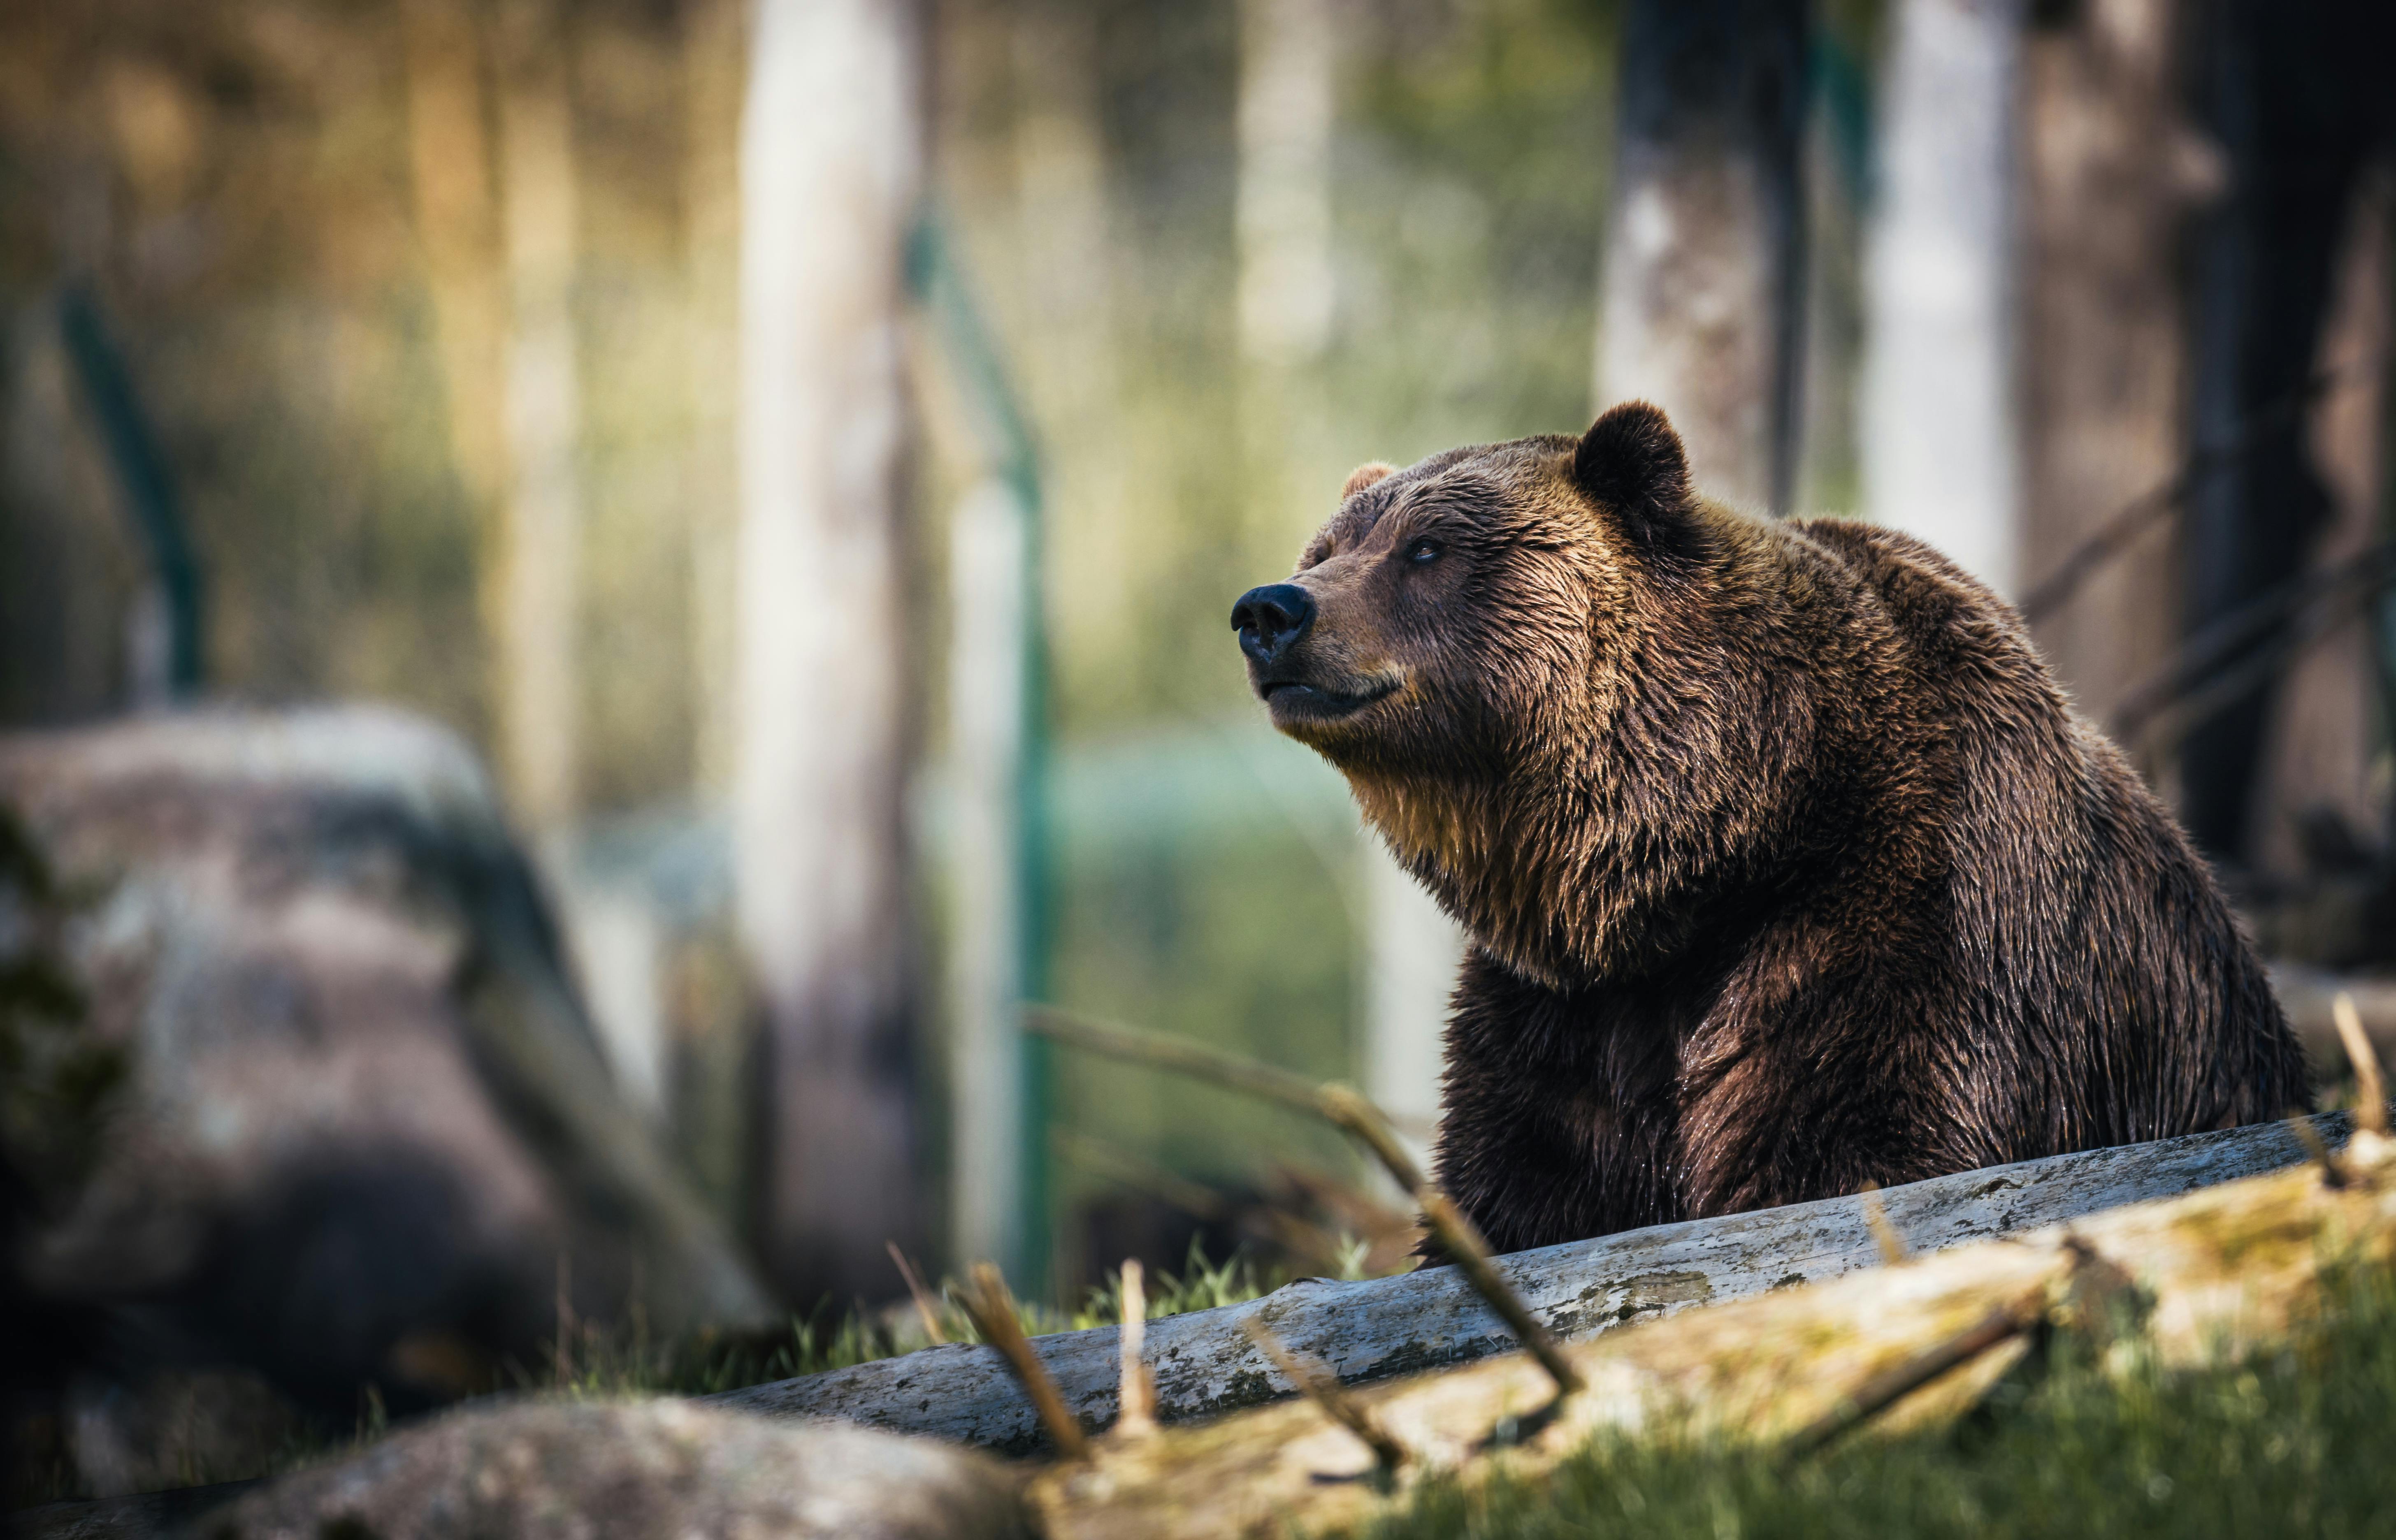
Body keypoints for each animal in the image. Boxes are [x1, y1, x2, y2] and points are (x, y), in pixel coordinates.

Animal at [1236, 405, 2300, 1255]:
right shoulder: (1562, 1013)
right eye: (1325, 549)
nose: (1270, 609)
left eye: (1427, 549)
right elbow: (1523, 1184)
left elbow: (1855, 1144)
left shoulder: (1907, 914)